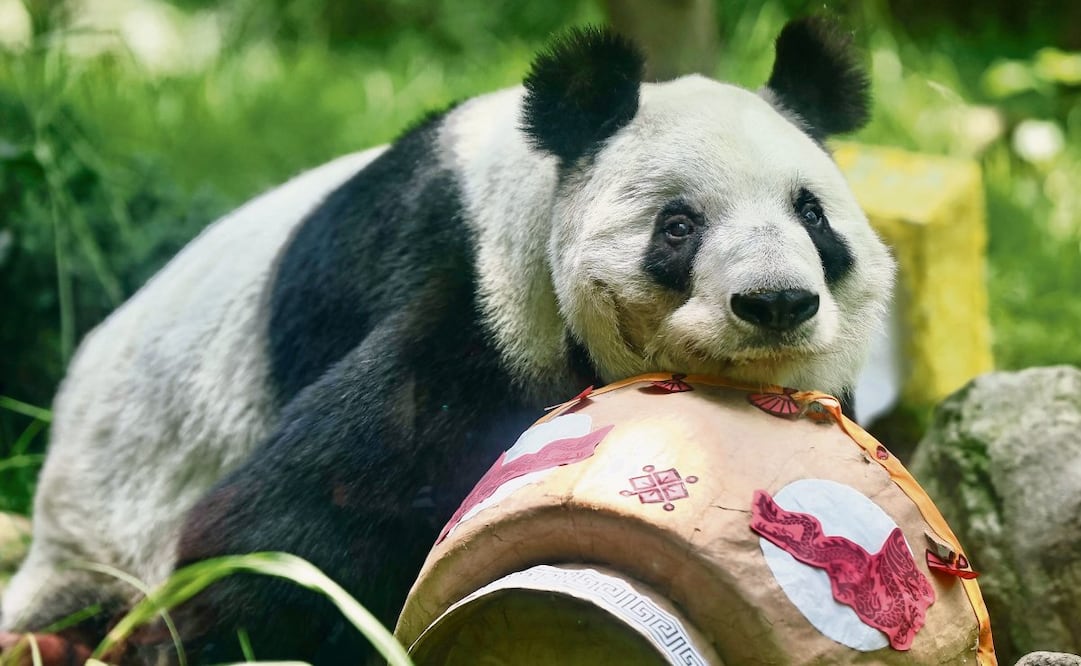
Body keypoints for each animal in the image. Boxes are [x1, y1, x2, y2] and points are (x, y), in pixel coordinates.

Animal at [2, 16, 894, 665]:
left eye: (810, 215)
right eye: (678, 227)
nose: (775, 303)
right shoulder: (475, 298)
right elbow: (293, 518)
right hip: (103, 521)